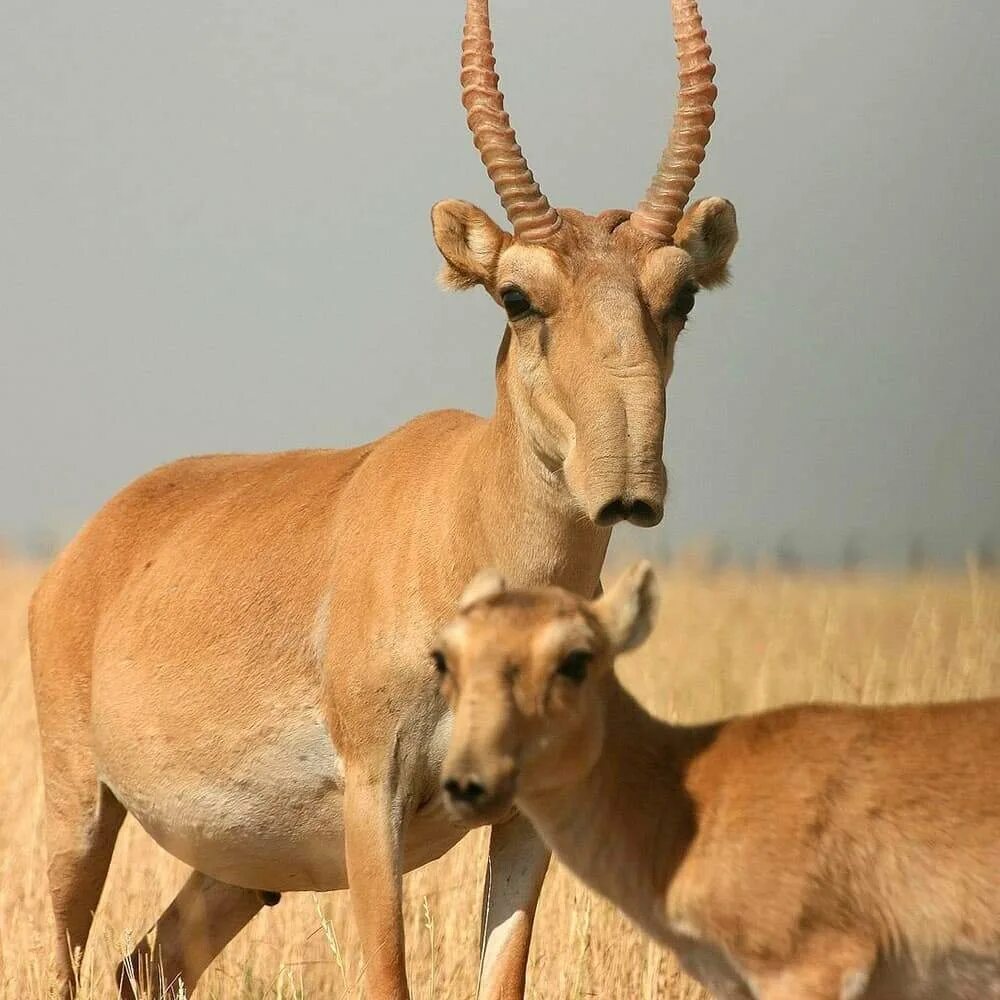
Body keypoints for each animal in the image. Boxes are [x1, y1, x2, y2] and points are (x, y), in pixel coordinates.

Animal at [29, 3, 736, 996]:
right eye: (516, 296)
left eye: (681, 297)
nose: (628, 483)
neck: (459, 512)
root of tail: (87, 550)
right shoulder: (375, 799)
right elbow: (389, 974)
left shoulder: (527, 816)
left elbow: (502, 975)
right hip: (80, 813)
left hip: (235, 873)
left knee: (145, 965)